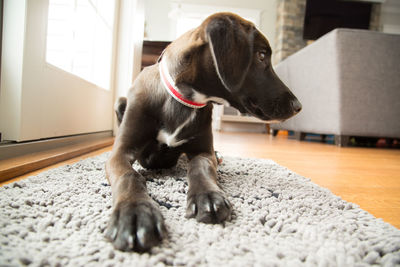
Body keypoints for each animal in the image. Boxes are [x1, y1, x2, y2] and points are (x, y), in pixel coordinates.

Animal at [104, 12, 302, 252]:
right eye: (262, 55)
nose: (298, 106)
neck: (184, 100)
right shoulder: (120, 153)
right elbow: (129, 175)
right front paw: (134, 211)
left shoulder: (202, 151)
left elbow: (201, 167)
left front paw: (207, 195)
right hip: (120, 102)